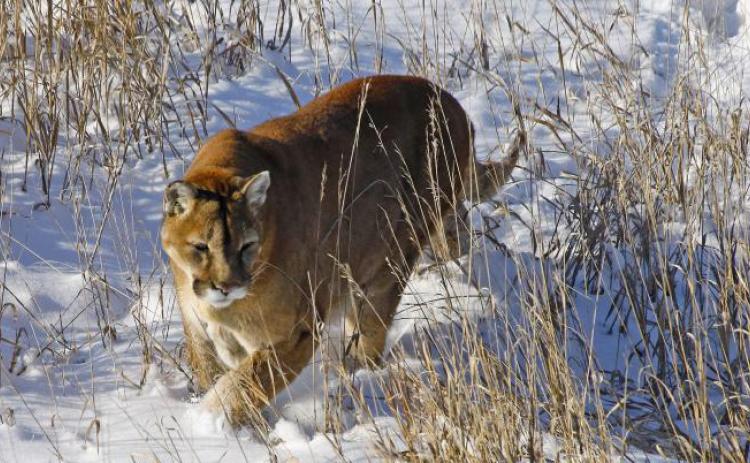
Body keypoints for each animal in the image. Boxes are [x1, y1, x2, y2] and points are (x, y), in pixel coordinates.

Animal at [160, 75, 522, 426]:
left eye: (247, 246)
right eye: (201, 247)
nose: (227, 287)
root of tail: (448, 100)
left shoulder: (297, 332)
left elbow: (243, 385)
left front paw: (208, 421)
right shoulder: (199, 333)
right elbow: (217, 375)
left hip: (389, 260)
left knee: (371, 332)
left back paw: (357, 375)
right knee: (457, 238)